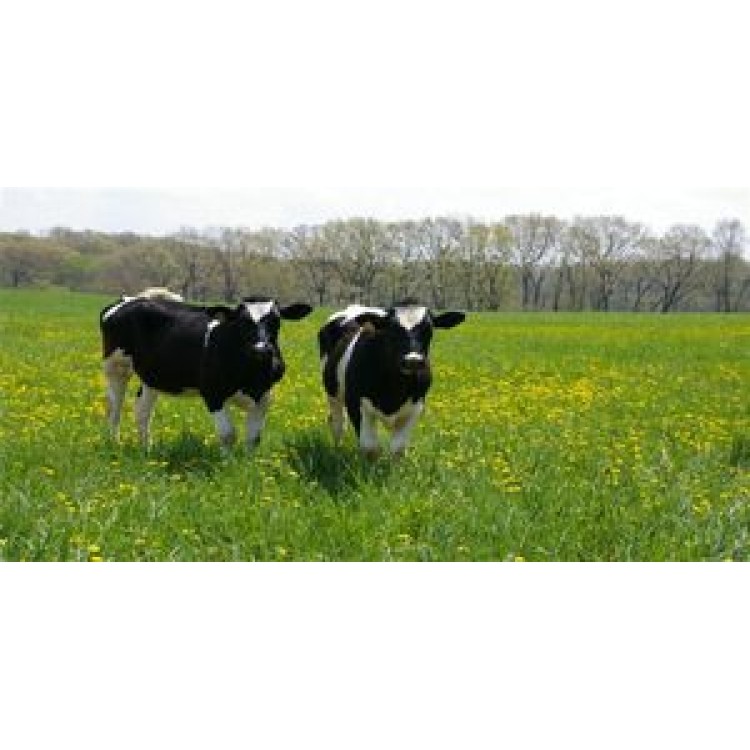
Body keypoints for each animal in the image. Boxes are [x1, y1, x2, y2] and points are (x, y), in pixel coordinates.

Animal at [100, 288, 312, 450]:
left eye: (276, 321)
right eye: (242, 321)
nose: (261, 349)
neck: (250, 376)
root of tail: (130, 299)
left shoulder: (264, 396)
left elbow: (254, 438)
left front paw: (248, 466)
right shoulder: (213, 393)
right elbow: (228, 434)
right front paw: (228, 465)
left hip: (152, 376)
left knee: (142, 411)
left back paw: (147, 449)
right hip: (116, 366)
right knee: (114, 407)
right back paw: (114, 444)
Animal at [319, 302, 466, 457]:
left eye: (429, 330)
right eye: (392, 330)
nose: (413, 361)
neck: (394, 389)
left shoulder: (416, 408)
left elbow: (398, 448)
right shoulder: (355, 402)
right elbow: (370, 447)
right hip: (333, 394)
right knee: (338, 423)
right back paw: (337, 450)